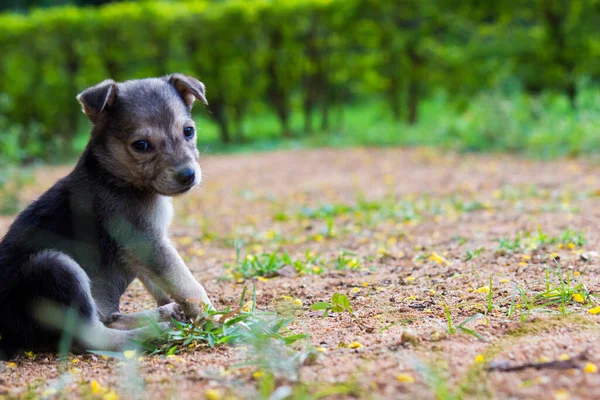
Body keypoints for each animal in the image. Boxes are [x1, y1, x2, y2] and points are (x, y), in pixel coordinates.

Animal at [0, 74, 213, 360]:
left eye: (188, 131)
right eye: (141, 145)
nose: (188, 175)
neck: (117, 177)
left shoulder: (143, 249)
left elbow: (165, 285)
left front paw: (182, 309)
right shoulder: (147, 242)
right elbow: (187, 284)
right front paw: (214, 316)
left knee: (110, 318)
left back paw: (160, 316)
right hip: (56, 267)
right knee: (91, 336)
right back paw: (152, 333)